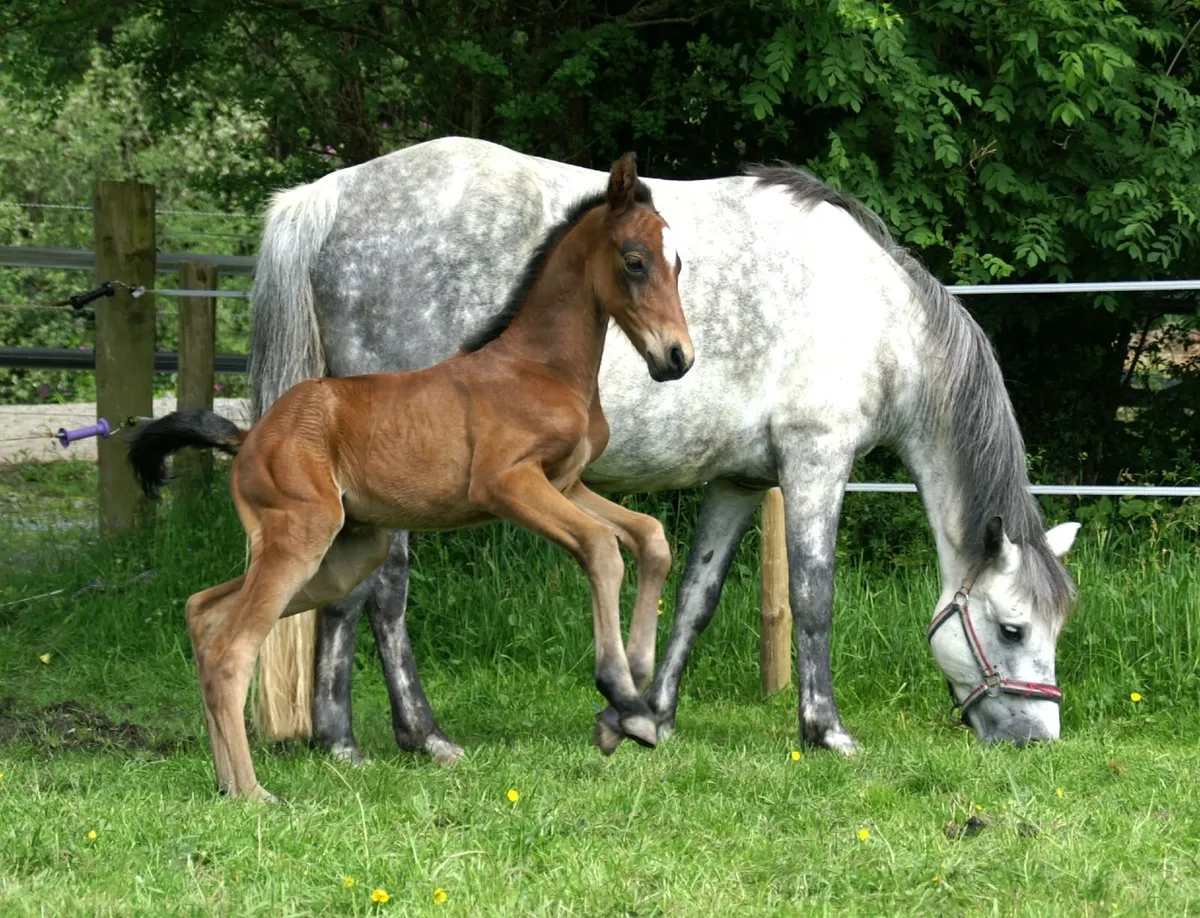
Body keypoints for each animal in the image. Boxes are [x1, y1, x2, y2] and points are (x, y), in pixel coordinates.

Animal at [127, 153, 693, 801]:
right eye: (635, 260)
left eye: (679, 263)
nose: (677, 357)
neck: (540, 367)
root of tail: (249, 438)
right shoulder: (507, 484)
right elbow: (602, 548)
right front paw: (624, 702)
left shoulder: (567, 483)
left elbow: (649, 536)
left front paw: (630, 699)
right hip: (301, 537)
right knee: (232, 646)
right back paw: (252, 793)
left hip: (345, 555)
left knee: (204, 610)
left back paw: (227, 782)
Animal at [250, 136, 1081, 764]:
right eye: (1012, 628)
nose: (1039, 738)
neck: (878, 314)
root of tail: (326, 196)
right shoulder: (816, 464)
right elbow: (813, 597)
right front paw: (826, 730)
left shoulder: (740, 481)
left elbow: (697, 599)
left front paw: (651, 715)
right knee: (383, 593)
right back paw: (413, 736)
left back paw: (344, 736)